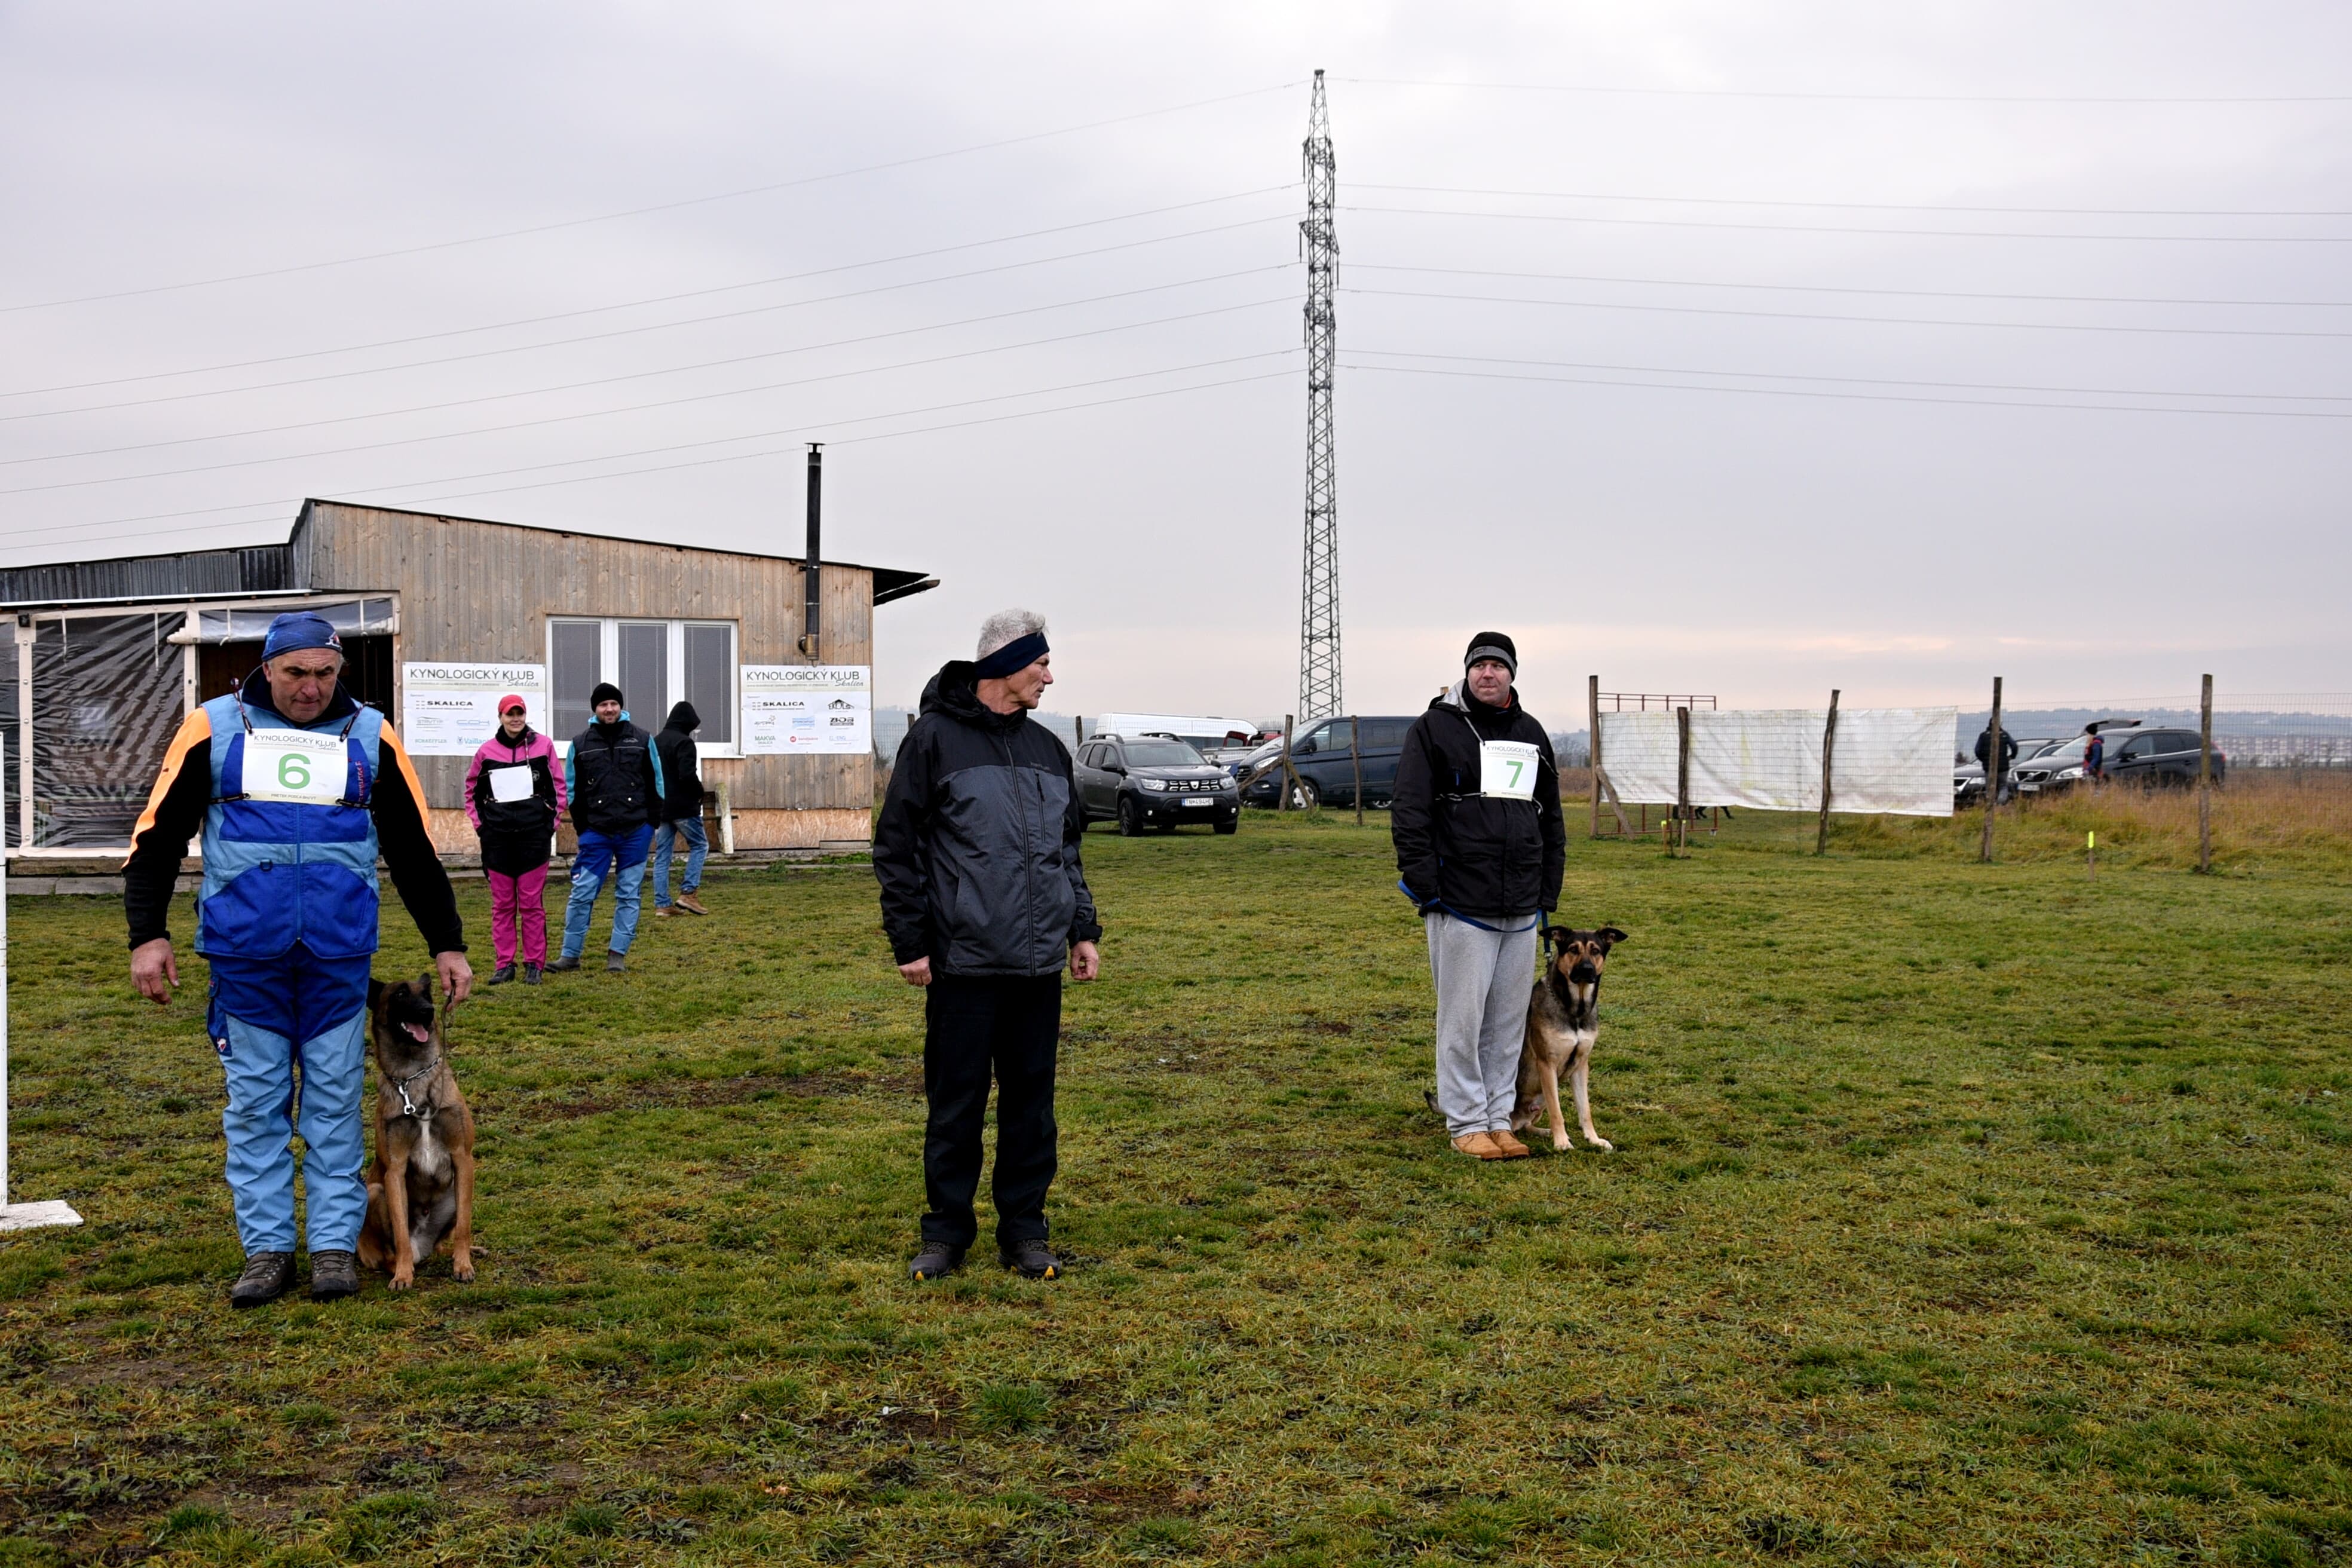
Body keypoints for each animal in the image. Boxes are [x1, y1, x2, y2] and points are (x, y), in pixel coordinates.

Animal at [356, 974, 477, 1290]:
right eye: (400, 994)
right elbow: (400, 1234)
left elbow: (464, 1226)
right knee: (392, 1252)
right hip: (374, 1192)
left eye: (427, 994)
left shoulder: (463, 1159)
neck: (412, 1079)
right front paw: (403, 1274)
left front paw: (463, 1265)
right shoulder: (394, 1171)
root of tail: (423, 1247)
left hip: (457, 1191)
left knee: (445, 1240)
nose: (429, 1011)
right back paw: (402, 1265)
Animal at [1510, 926, 1628, 1152]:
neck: (1576, 1009)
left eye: (1596, 951)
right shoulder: (1547, 1064)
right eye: (1573, 949)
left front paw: (1594, 1139)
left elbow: (1585, 1110)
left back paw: (1543, 1132)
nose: (1587, 969)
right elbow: (1557, 1112)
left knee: (1526, 1125)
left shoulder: (1581, 1066)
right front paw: (1562, 1142)